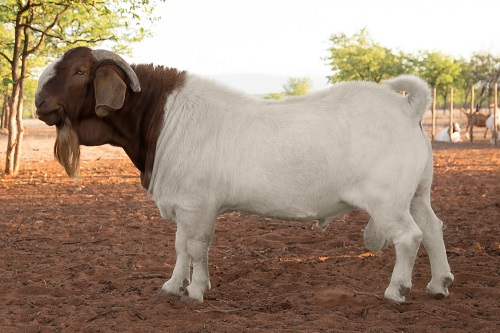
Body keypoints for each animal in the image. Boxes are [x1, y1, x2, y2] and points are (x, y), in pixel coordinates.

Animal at [35, 46, 456, 304]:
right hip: (416, 193)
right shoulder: (185, 205)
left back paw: (396, 290)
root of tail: (407, 109)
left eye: (78, 70)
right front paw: (172, 286)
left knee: (410, 236)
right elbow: (180, 246)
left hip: (387, 200)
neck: (164, 117)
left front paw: (196, 291)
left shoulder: (199, 205)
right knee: (433, 227)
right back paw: (439, 284)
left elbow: (196, 247)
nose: (39, 103)